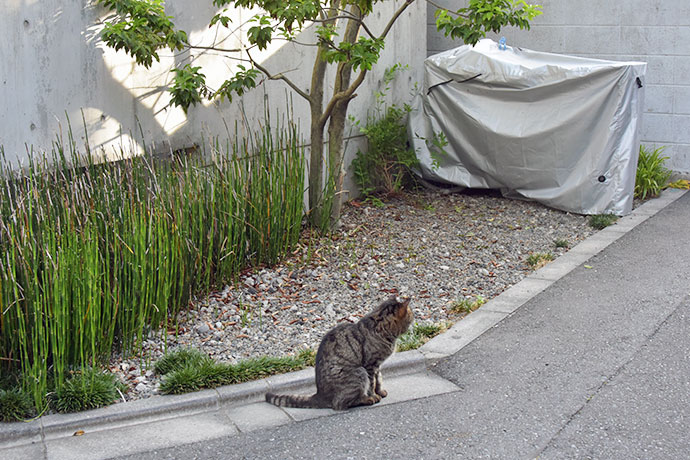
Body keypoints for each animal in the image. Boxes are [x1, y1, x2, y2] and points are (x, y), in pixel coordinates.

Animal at [266, 296, 412, 412]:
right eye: (411, 315)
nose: (413, 318)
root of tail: (319, 395)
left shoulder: (378, 365)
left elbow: (379, 380)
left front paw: (380, 392)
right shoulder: (370, 365)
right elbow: (372, 383)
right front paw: (374, 396)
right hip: (358, 372)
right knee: (340, 404)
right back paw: (366, 399)